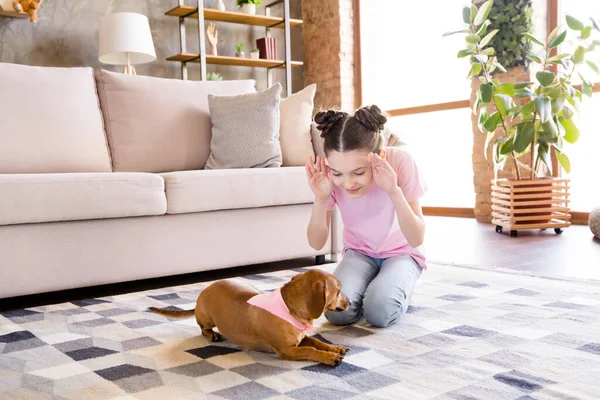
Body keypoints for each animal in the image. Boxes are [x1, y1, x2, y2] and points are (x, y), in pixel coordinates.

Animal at [149, 268, 352, 366]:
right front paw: (330, 357)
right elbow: (311, 350)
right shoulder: (287, 350)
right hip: (207, 318)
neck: (289, 308)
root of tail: (203, 292)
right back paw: (213, 335)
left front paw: (335, 348)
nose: (351, 302)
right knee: (203, 329)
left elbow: (317, 342)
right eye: (338, 290)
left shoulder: (301, 338)